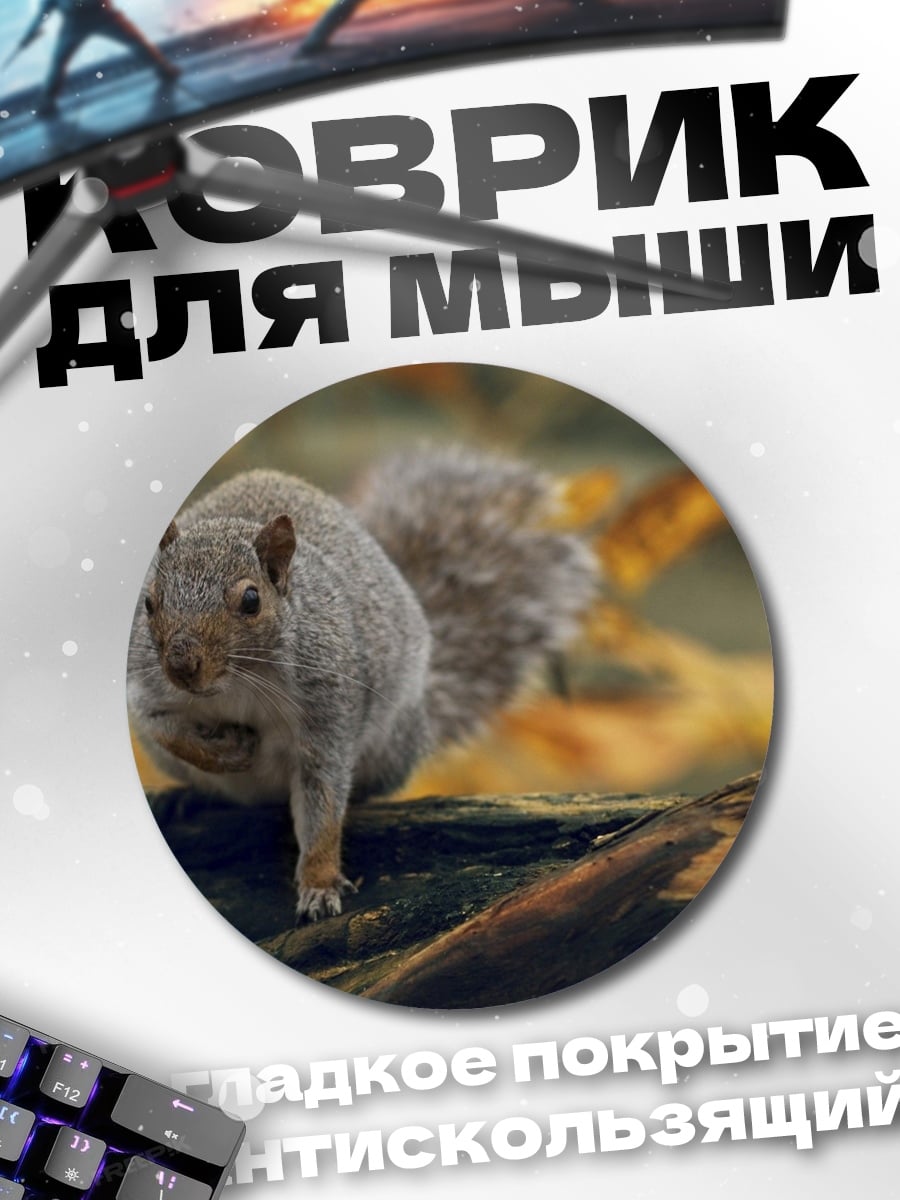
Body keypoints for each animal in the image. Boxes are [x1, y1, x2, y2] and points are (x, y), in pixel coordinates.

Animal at [127, 445, 599, 922]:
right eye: (148, 602)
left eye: (251, 600)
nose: (181, 665)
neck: (238, 684)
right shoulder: (144, 683)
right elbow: (163, 728)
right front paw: (227, 750)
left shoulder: (328, 704)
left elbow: (323, 805)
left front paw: (319, 884)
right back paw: (184, 797)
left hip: (390, 744)